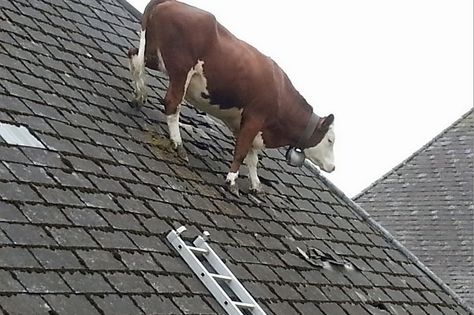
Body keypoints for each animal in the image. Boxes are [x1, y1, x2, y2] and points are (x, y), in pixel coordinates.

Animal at [128, 0, 336, 196]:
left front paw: (256, 185)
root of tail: (170, 2)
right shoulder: (255, 117)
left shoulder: (248, 126)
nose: (333, 167)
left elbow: (253, 158)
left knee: (134, 59)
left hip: (153, 54)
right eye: (330, 140)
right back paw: (178, 144)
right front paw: (232, 181)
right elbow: (241, 152)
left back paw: (139, 95)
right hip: (181, 69)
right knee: (172, 103)